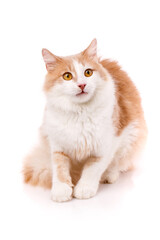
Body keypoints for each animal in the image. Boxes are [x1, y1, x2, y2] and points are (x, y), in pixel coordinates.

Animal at [23, 39, 147, 202]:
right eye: (67, 76)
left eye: (88, 72)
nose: (82, 85)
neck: (79, 113)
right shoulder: (57, 145)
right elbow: (59, 169)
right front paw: (61, 191)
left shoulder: (105, 146)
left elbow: (92, 170)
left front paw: (84, 189)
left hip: (131, 137)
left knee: (119, 163)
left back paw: (109, 176)